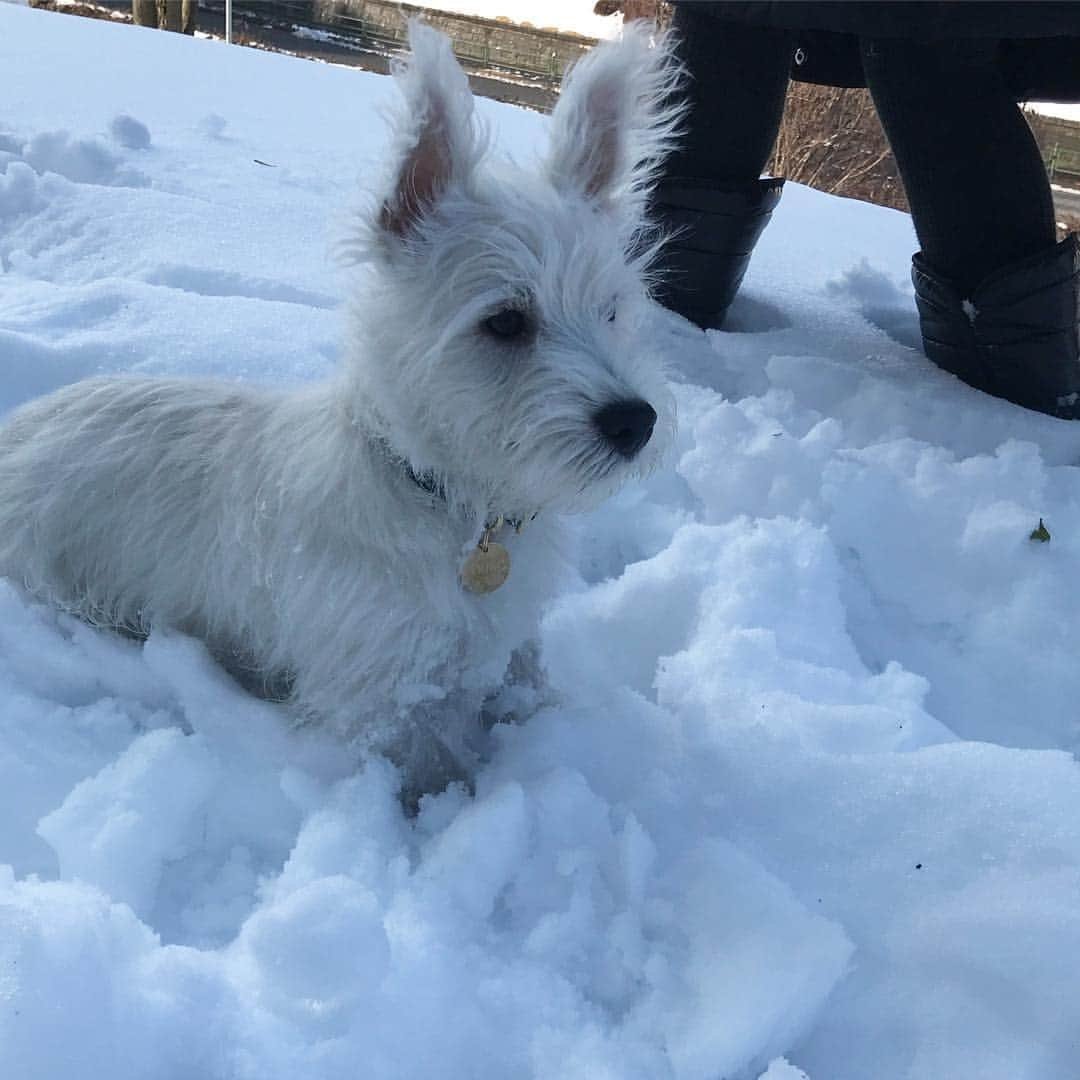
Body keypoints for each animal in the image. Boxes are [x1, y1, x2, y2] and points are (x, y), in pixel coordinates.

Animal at [0, 19, 682, 794]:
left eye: (611, 312)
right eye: (506, 322)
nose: (635, 422)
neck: (448, 502)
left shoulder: (503, 646)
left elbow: (529, 683)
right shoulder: (383, 703)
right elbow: (429, 775)